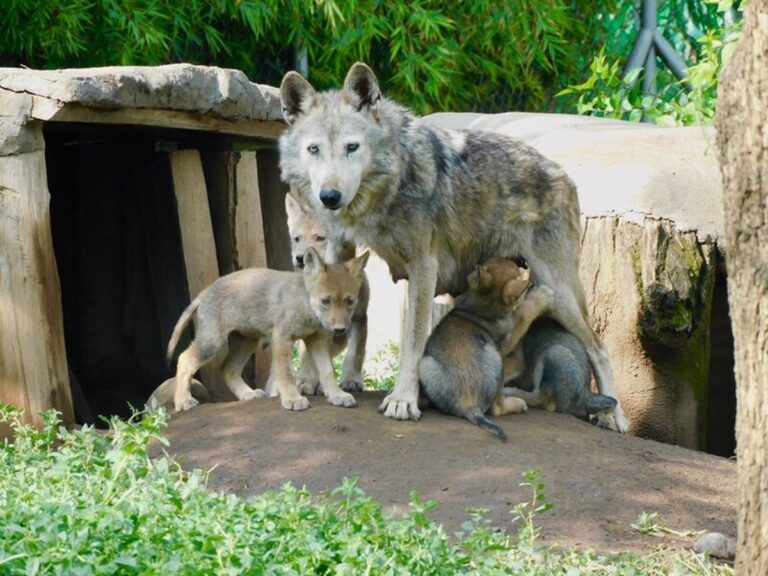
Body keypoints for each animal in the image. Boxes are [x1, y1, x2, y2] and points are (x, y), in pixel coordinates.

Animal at [167, 247, 369, 413]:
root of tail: (204, 292)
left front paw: (337, 395)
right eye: (326, 301)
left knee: (227, 369)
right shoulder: (281, 337)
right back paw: (183, 401)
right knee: (185, 359)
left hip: (246, 342)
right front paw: (292, 399)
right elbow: (286, 374)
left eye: (350, 301)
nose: (340, 329)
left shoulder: (316, 340)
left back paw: (247, 394)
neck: (305, 303)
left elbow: (327, 371)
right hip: (212, 342)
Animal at [284, 192, 369, 394]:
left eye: (320, 238)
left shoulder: (359, 319)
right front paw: (307, 382)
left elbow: (355, 354)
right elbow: (311, 359)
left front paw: (350, 380)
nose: (300, 257)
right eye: (296, 239)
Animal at [419, 257, 551, 440]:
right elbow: (523, 314)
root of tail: (469, 404)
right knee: (497, 408)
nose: (522, 263)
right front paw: (541, 296)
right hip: (497, 360)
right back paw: (517, 404)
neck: (481, 308)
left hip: (425, 364)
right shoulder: (507, 340)